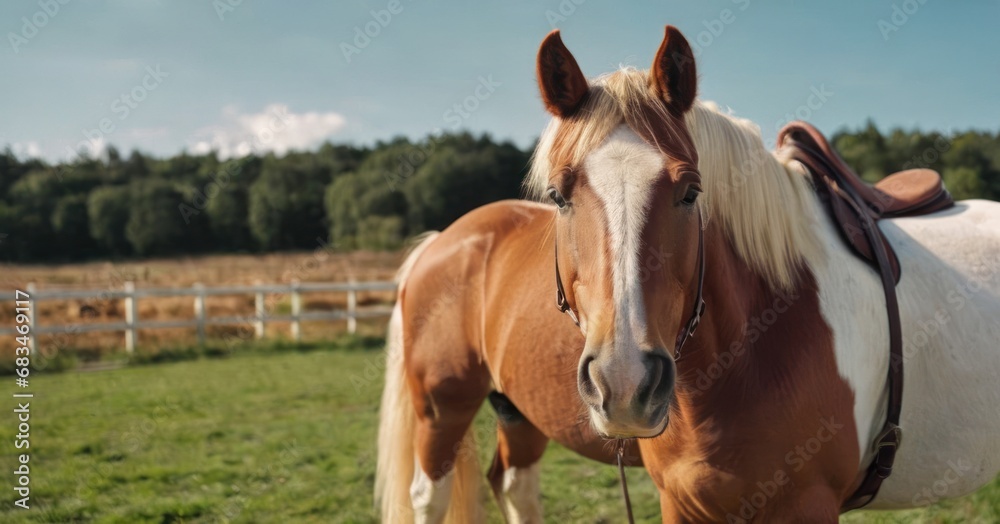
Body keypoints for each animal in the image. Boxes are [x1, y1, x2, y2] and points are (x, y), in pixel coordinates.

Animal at [376, 26, 1000, 524]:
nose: (624, 383)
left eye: (691, 192)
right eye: (558, 196)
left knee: (513, 486)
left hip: (511, 410)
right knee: (433, 497)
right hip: (442, 407)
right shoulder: (682, 502)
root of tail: (442, 242)